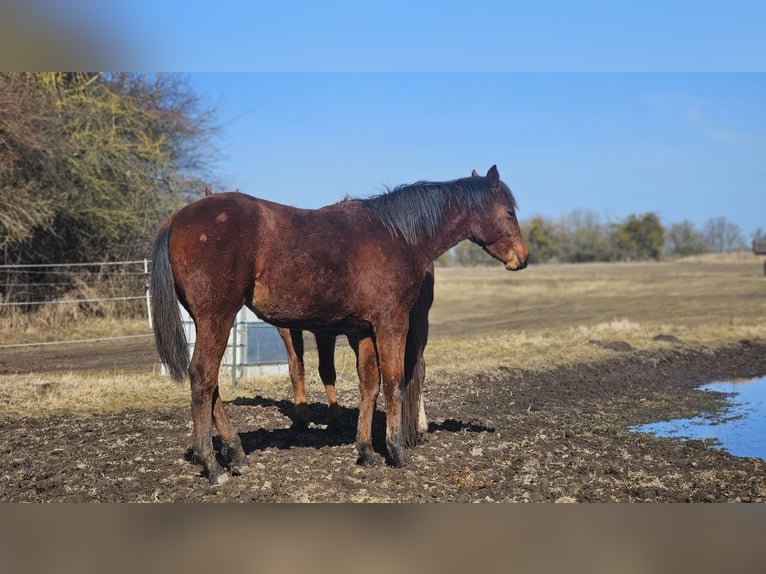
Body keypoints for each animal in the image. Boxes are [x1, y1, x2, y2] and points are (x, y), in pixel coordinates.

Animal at [151, 165, 527, 484]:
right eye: (509, 211)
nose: (522, 259)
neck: (398, 236)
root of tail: (176, 218)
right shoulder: (391, 323)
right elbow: (394, 382)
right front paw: (396, 452)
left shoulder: (363, 331)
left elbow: (369, 386)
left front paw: (367, 452)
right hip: (217, 318)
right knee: (203, 377)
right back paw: (213, 465)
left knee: (211, 383)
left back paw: (236, 455)